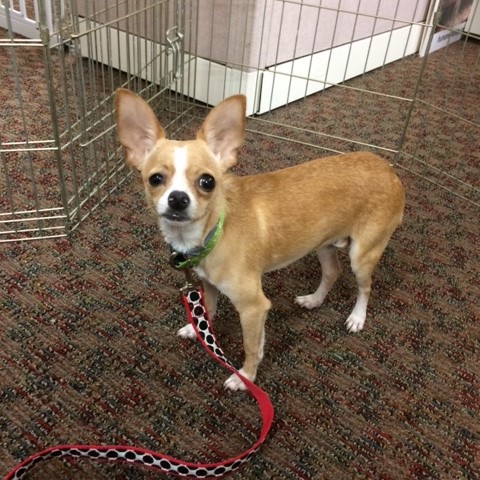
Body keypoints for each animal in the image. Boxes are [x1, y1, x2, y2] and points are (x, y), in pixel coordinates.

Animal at [116, 89, 404, 390]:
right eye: (155, 179)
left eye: (207, 181)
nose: (178, 199)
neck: (214, 230)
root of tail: (388, 169)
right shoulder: (210, 285)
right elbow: (209, 309)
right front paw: (198, 330)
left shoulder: (254, 307)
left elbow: (251, 346)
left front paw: (246, 377)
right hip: (324, 245)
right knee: (332, 272)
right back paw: (314, 300)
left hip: (363, 255)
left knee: (366, 287)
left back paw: (357, 318)